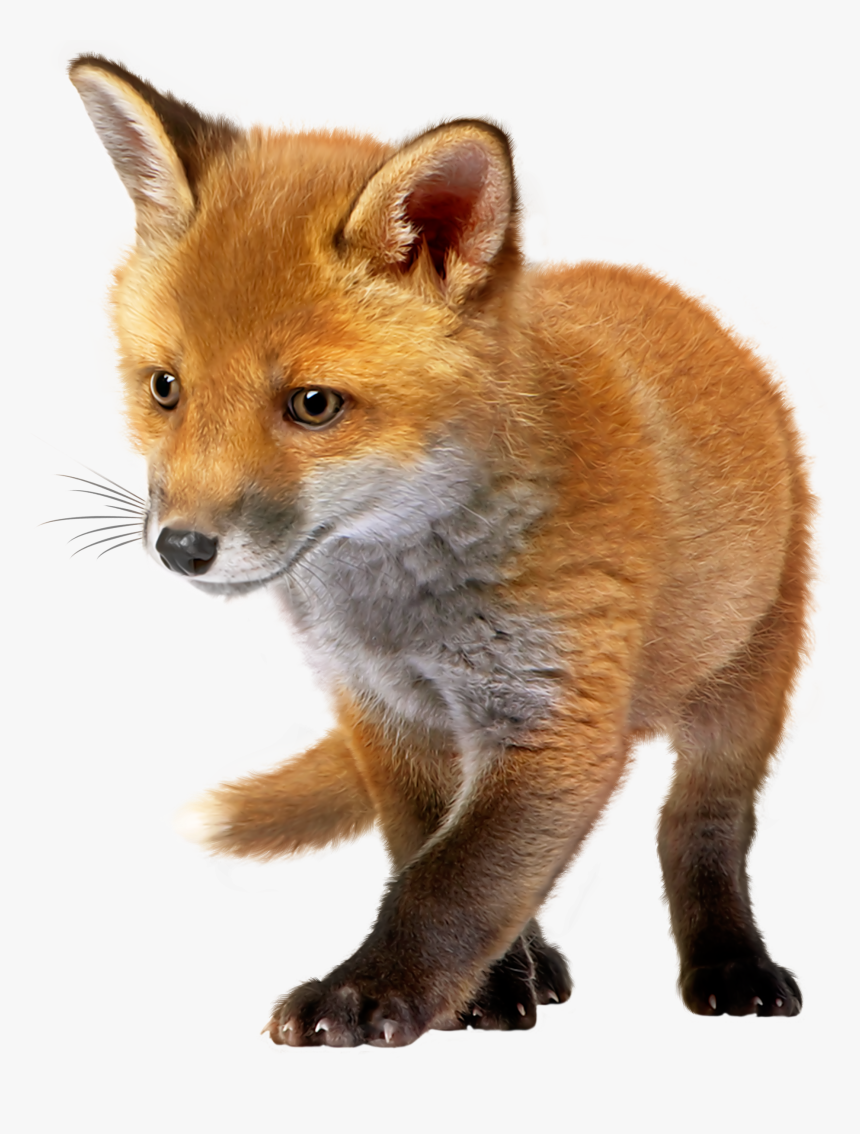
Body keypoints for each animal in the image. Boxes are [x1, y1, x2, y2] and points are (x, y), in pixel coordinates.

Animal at [69, 55, 812, 1047]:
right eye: (164, 389)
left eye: (313, 405)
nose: (182, 547)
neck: (403, 608)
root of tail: (685, 305)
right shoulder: (386, 711)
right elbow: (430, 852)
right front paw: (489, 990)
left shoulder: (560, 716)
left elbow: (453, 885)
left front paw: (366, 993)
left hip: (747, 684)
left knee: (700, 827)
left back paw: (731, 964)